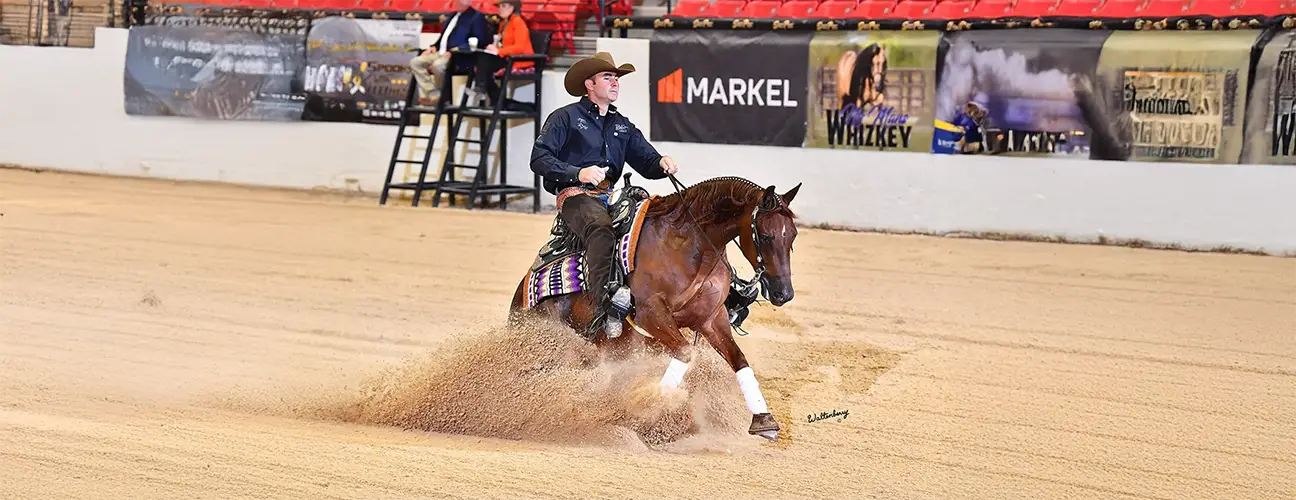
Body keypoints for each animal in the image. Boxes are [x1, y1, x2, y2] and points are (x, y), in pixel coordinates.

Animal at [508, 175, 801, 440]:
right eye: (766, 235)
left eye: (793, 235)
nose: (784, 293)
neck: (688, 246)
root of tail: (521, 294)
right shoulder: (651, 315)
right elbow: (685, 352)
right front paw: (652, 407)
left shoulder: (711, 319)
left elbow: (738, 360)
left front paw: (764, 419)